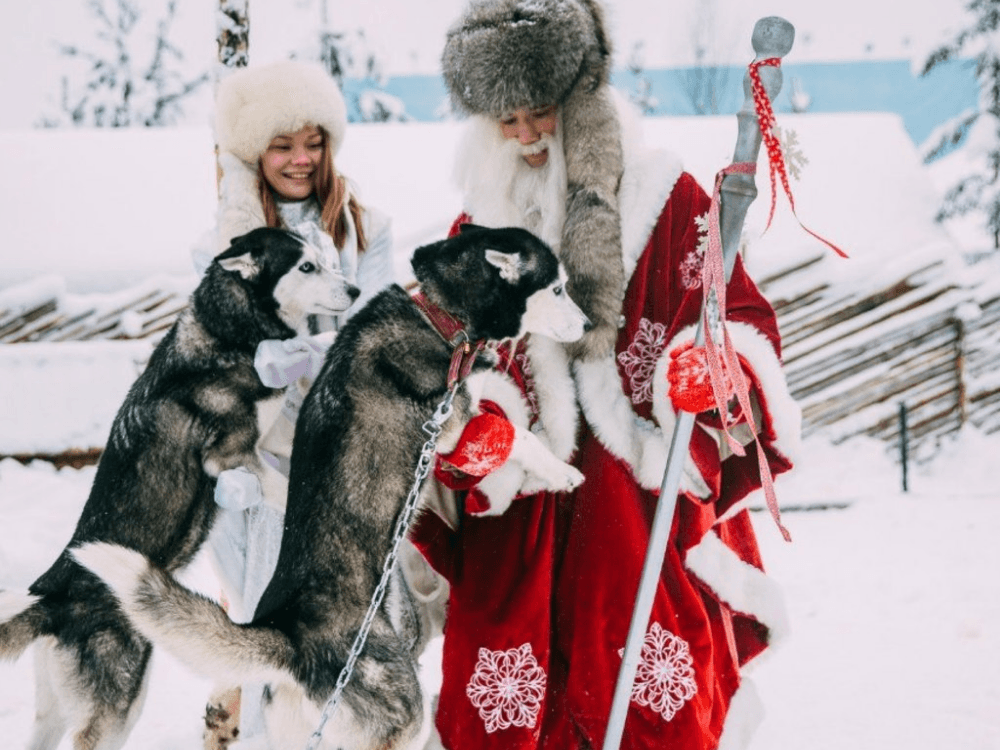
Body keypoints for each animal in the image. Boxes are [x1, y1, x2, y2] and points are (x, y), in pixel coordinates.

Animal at [0, 228, 360, 750]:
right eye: (306, 267)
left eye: (324, 259)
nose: (354, 290)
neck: (234, 336)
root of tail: (50, 598)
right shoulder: (234, 457)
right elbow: (286, 485)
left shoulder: (269, 439)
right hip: (117, 705)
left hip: (56, 710)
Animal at [78, 226, 592, 750]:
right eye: (557, 288)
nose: (589, 325)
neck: (438, 318)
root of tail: (289, 635)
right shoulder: (451, 426)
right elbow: (519, 438)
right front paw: (561, 473)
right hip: (401, 720)